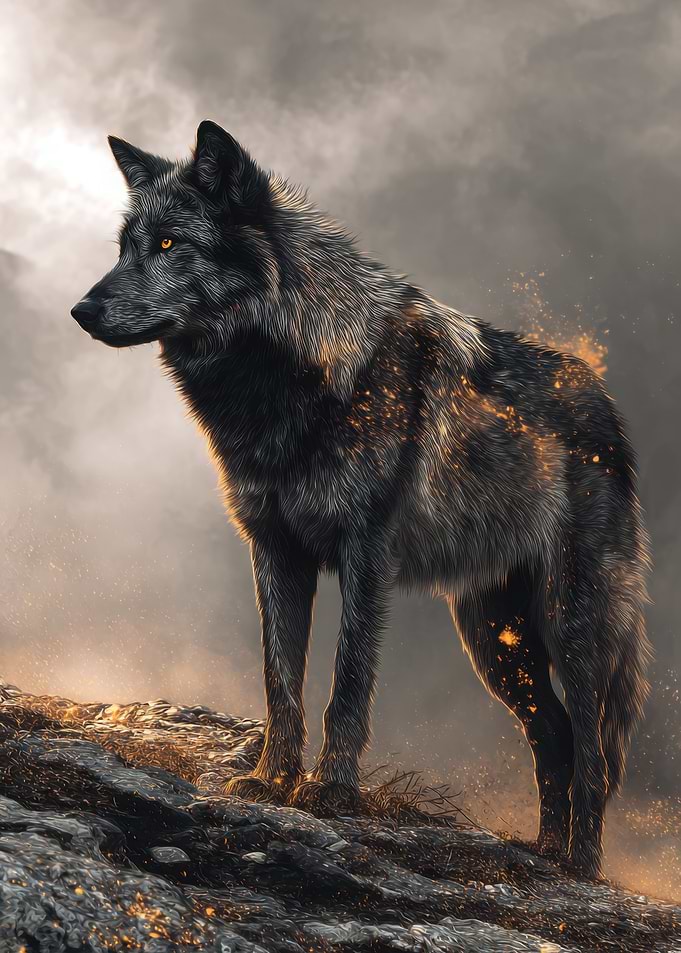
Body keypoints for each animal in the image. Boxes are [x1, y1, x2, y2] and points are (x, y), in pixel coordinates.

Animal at [71, 120, 651, 879]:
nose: (81, 310)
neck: (287, 378)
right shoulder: (274, 552)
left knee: (591, 750)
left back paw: (581, 867)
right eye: (124, 247)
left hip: (569, 628)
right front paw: (270, 782)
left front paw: (330, 793)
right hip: (496, 643)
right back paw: (543, 857)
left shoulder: (364, 555)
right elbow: (280, 680)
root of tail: (607, 408)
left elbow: (346, 684)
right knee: (551, 737)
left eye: (170, 245)